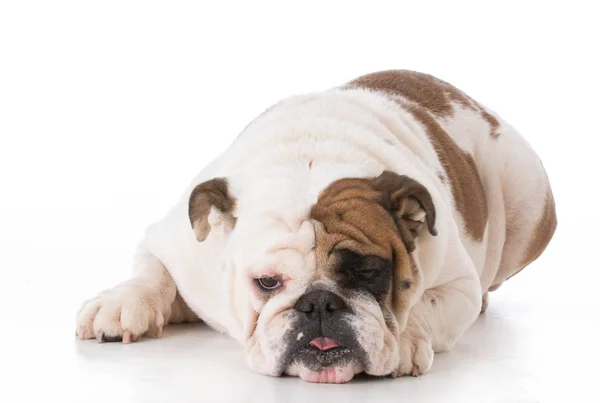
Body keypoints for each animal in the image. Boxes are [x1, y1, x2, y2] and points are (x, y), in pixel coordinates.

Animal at [76, 70, 556, 386]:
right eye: (267, 282)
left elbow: (423, 306)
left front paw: (403, 338)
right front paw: (120, 304)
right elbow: (151, 271)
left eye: (369, 272)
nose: (319, 304)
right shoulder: (177, 246)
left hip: (531, 194)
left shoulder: (460, 286)